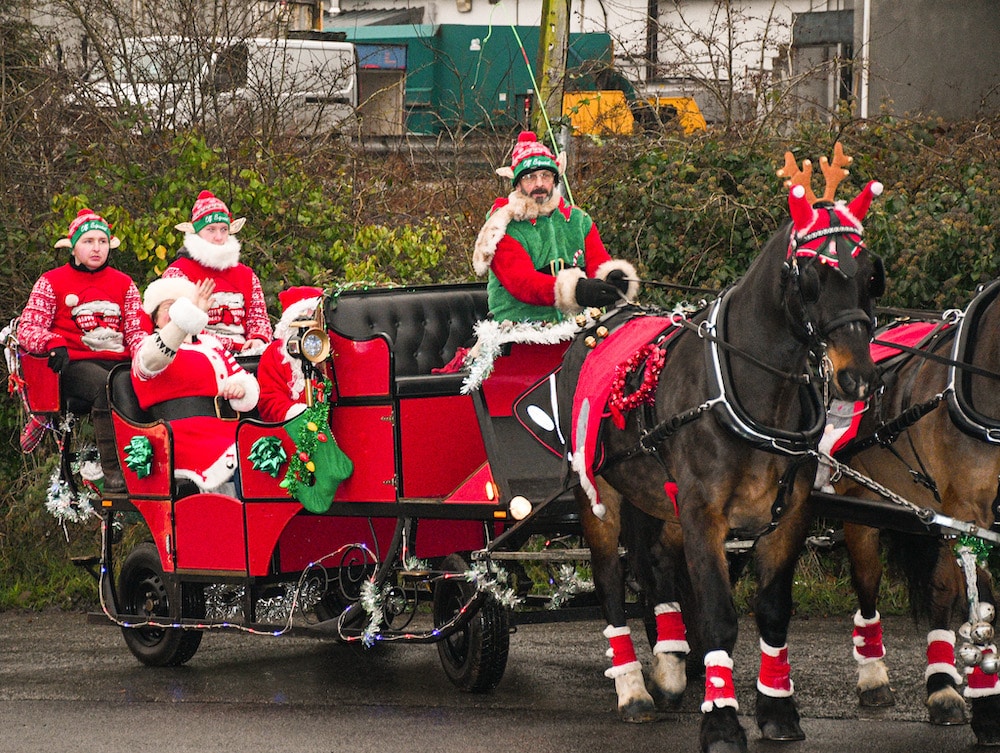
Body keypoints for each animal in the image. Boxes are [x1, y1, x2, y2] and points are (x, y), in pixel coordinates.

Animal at [564, 148, 884, 752]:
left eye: (870, 276)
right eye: (811, 278)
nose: (858, 379)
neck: (757, 392)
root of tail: (600, 321)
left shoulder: (789, 515)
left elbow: (774, 611)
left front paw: (778, 709)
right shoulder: (704, 514)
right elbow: (718, 617)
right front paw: (721, 720)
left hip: (657, 498)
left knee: (656, 565)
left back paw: (667, 665)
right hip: (600, 495)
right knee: (611, 580)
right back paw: (632, 688)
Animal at [832, 278, 1000, 748]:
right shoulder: (968, 511)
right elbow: (981, 596)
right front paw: (983, 706)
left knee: (941, 588)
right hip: (860, 503)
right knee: (867, 579)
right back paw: (873, 677)